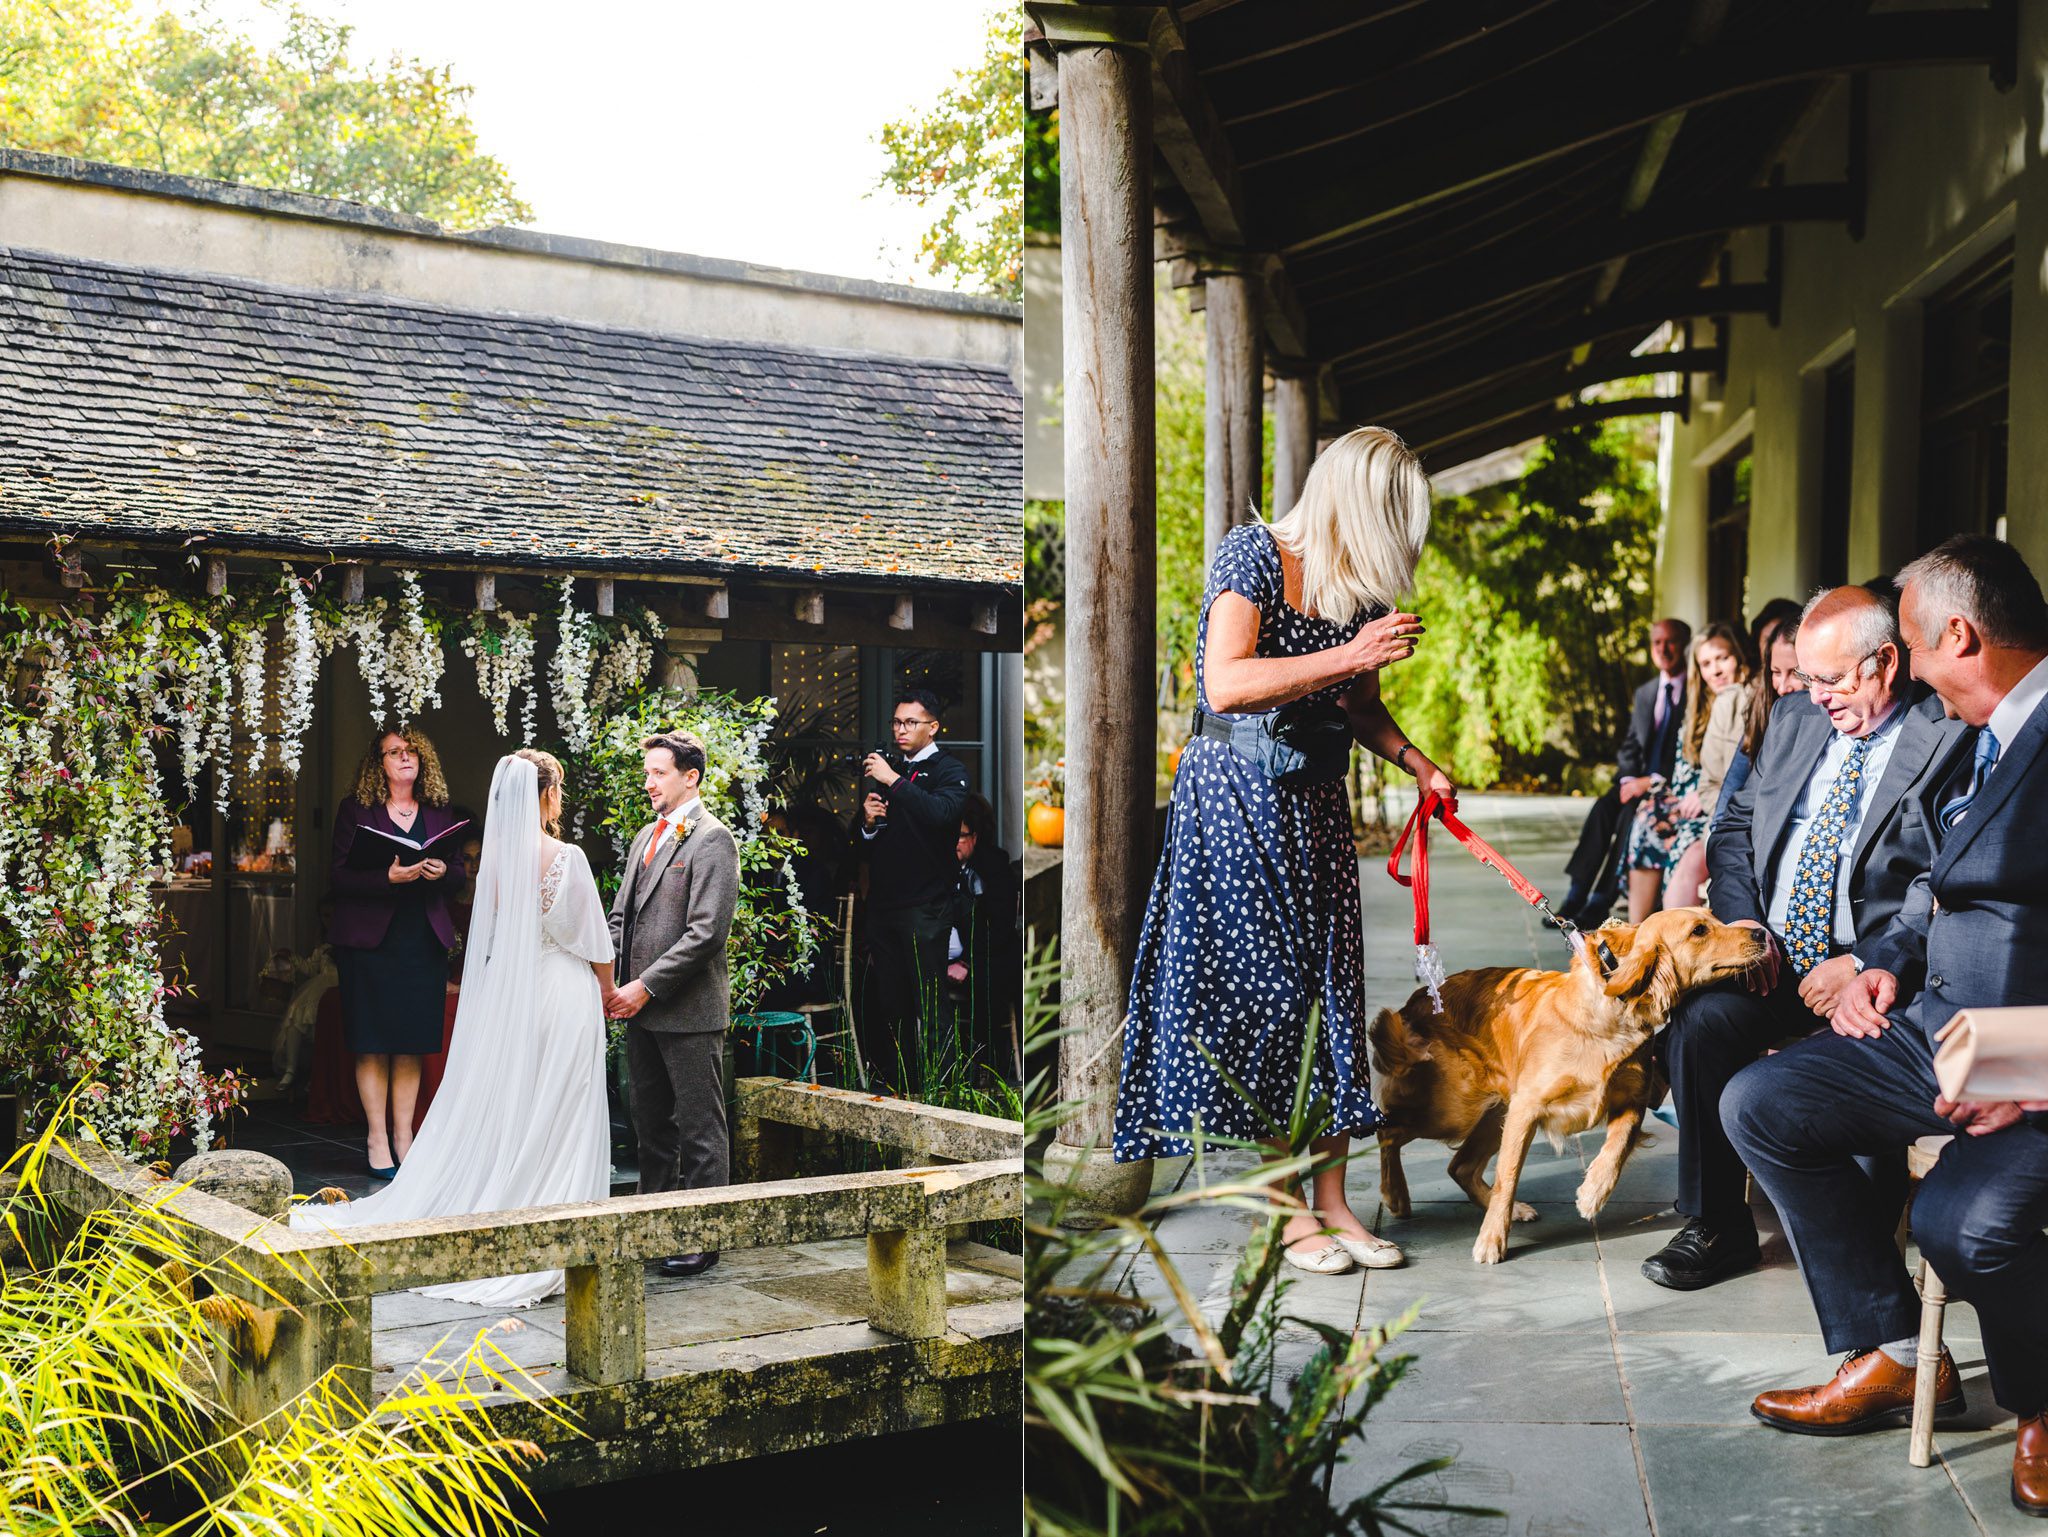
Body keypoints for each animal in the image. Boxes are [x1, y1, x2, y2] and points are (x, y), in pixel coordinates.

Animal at [1368, 914, 1769, 1262]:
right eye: (1699, 929)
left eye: (1713, 916)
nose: (1761, 933)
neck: (1610, 1010)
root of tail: (1418, 1001)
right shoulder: (1527, 1108)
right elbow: (1508, 1176)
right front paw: (1492, 1240)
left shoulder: (1633, 1100)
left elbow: (1617, 1147)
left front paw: (1593, 1192)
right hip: (1456, 1110)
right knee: (1388, 1130)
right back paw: (1395, 1195)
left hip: (1496, 1113)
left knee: (1460, 1166)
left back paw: (1513, 1209)